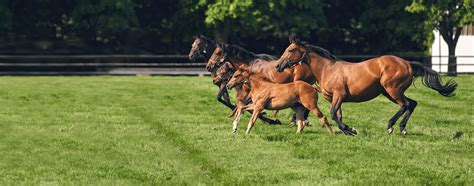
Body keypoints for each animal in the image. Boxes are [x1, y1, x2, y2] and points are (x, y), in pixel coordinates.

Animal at [276, 36, 458, 135]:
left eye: (291, 50)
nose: (278, 66)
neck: (327, 69)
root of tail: (408, 64)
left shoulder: (339, 96)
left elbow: (334, 114)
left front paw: (350, 129)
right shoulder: (334, 98)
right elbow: (338, 115)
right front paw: (347, 130)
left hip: (392, 89)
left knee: (405, 104)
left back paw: (390, 126)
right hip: (389, 92)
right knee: (412, 104)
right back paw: (402, 128)